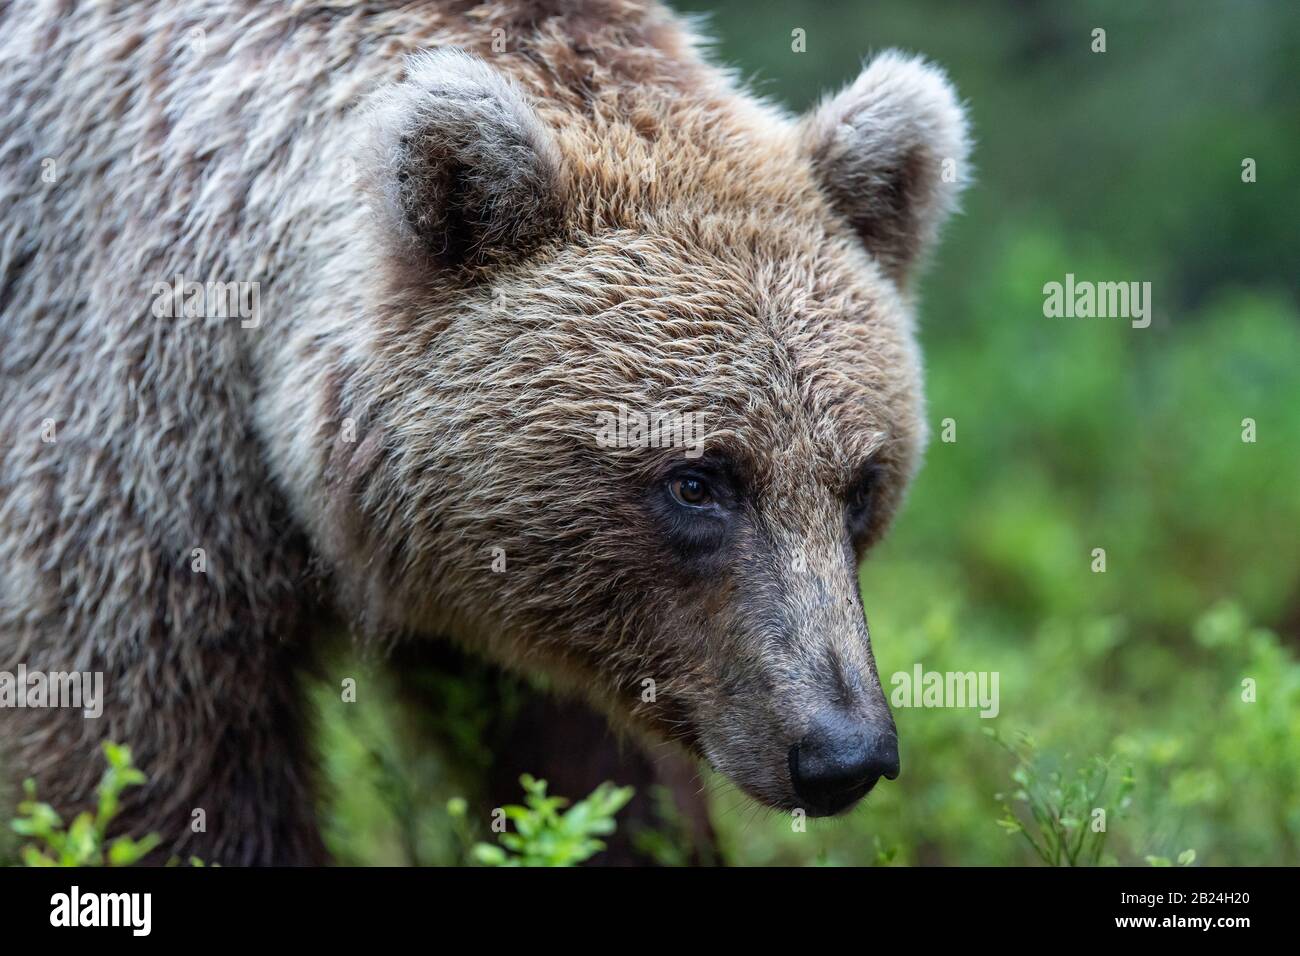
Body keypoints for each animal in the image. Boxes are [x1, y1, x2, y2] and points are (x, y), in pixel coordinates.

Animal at [0, 1, 967, 868]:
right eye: (697, 480)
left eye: (862, 485)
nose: (844, 753)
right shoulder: (137, 453)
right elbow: (151, 757)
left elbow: (583, 769)